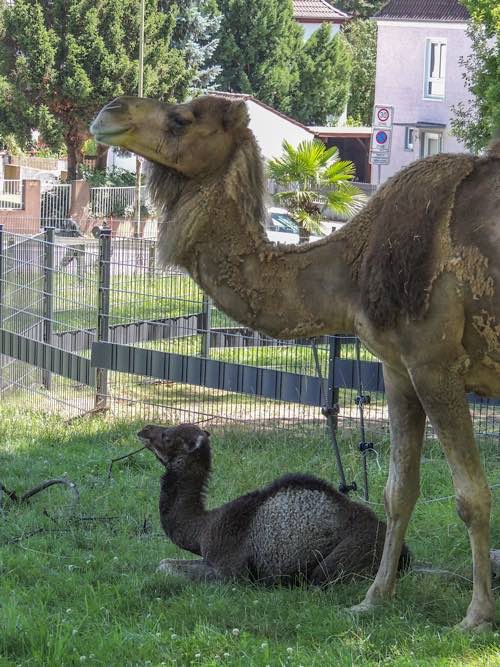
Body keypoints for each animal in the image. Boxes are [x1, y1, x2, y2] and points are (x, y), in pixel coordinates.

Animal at [138, 422, 410, 584]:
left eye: (167, 436)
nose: (144, 429)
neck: (204, 527)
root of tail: (406, 556)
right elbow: (164, 562)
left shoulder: (232, 572)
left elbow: (165, 567)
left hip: (342, 559)